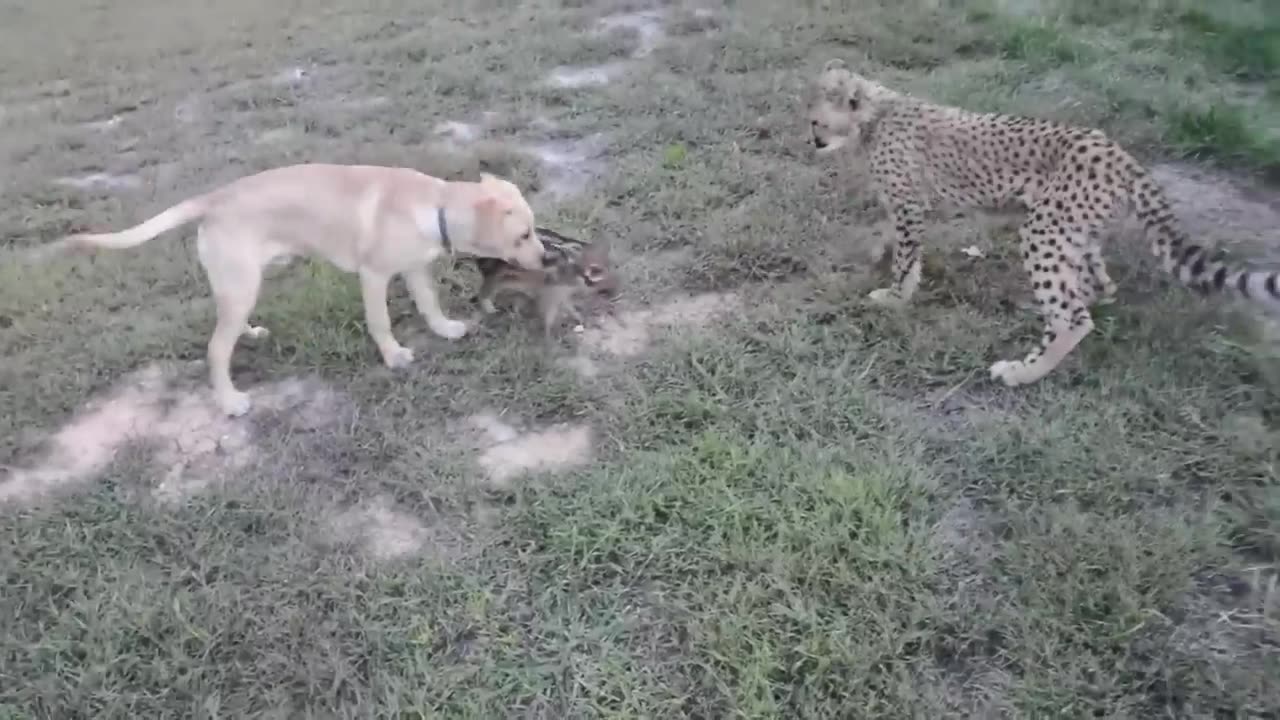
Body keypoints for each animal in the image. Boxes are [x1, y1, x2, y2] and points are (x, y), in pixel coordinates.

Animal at [55, 162, 547, 415]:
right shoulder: (374, 275)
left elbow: (429, 304)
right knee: (215, 349)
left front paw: (445, 329)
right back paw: (230, 401)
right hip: (242, 285)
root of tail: (213, 199)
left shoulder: (414, 270)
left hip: (239, 285)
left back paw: (250, 334)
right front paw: (393, 357)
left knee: (226, 325)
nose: (545, 260)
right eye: (523, 235)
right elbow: (381, 321)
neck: (436, 206)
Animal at [808, 59, 1280, 386]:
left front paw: (893, 296)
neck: (874, 113)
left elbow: (906, 255)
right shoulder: (905, 203)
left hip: (1043, 230)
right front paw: (880, 261)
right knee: (1098, 287)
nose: (812, 139)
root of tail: (1116, 151)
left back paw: (1021, 371)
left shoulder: (909, 203)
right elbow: (896, 242)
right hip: (1073, 231)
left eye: (816, 120)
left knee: (1074, 316)